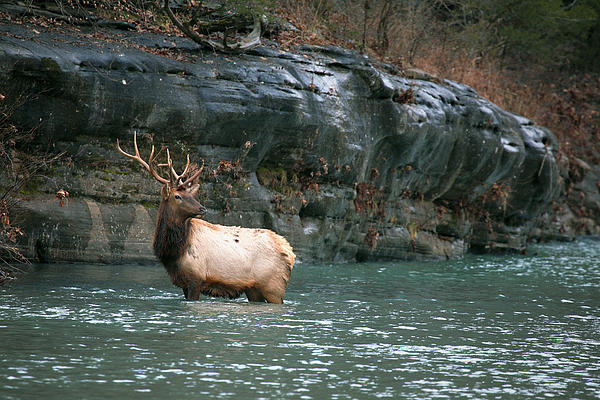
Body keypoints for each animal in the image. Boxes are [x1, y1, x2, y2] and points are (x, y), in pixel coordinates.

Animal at [116, 131, 296, 304]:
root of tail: (289, 252)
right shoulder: (183, 282)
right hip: (253, 288)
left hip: (273, 286)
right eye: (177, 196)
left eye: (190, 194)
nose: (202, 208)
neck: (174, 251)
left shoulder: (196, 278)